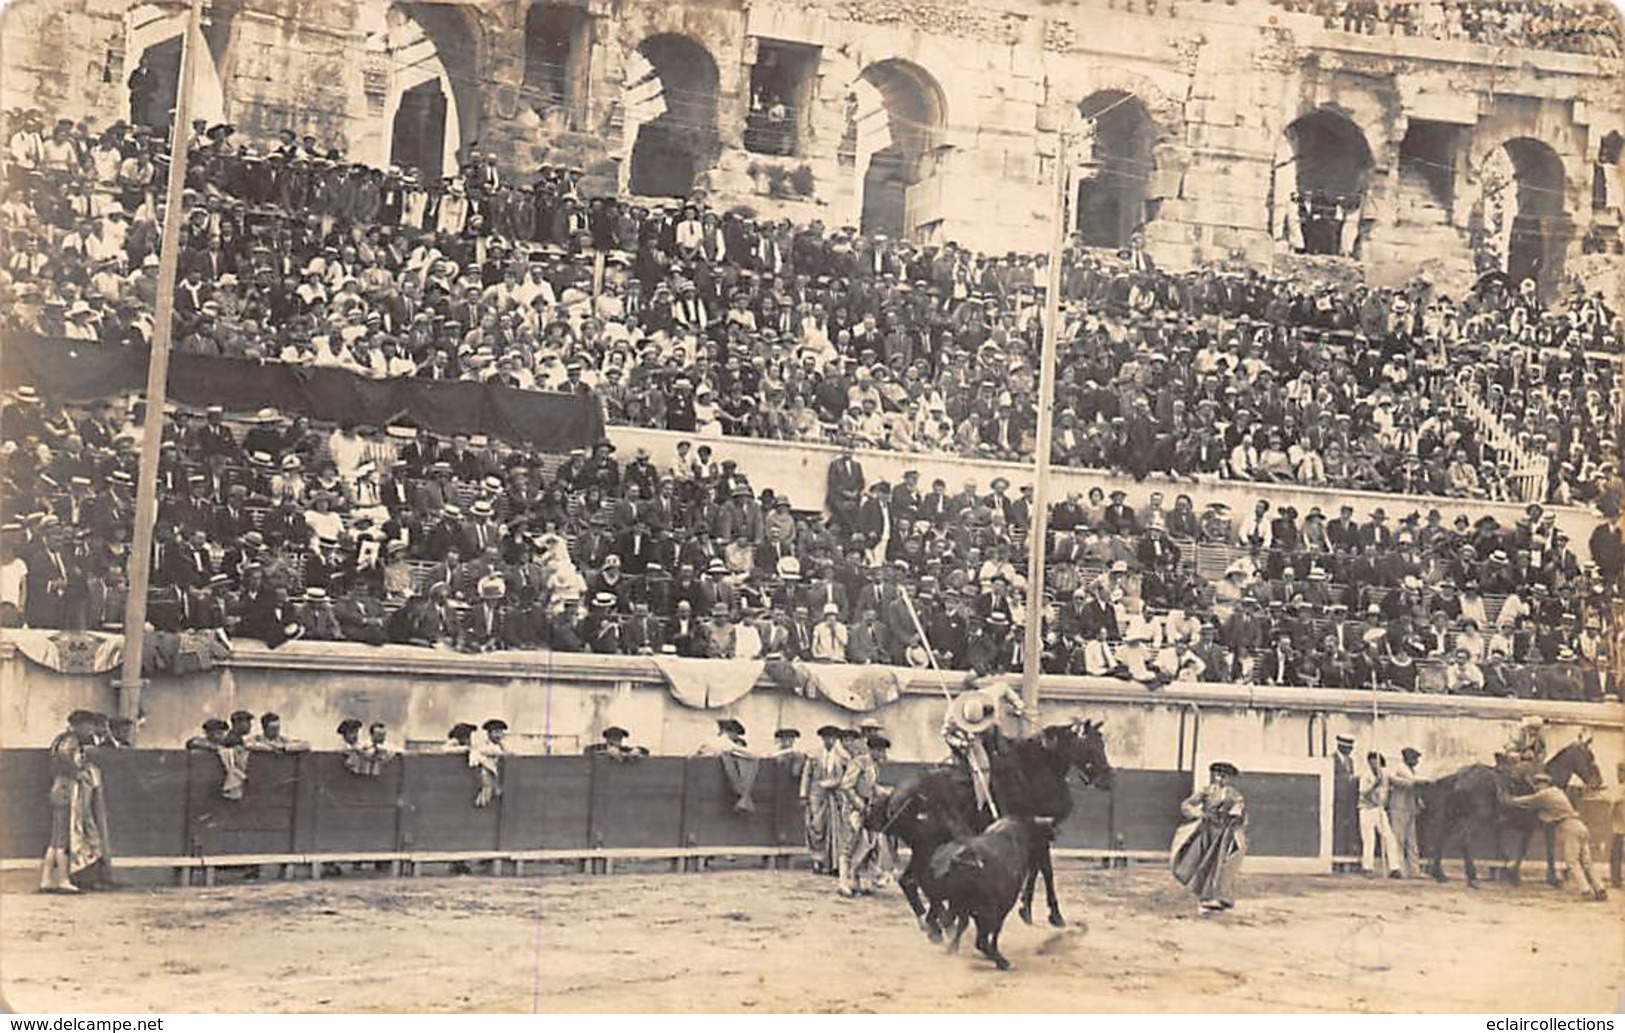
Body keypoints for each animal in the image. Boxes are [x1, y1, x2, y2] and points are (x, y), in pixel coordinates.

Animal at [864, 721, 1118, 942]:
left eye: (1103, 743)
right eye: (1092, 745)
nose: (1108, 779)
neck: (1037, 768)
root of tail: (894, 798)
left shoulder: (1037, 836)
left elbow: (1035, 869)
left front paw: (1026, 910)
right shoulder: (1041, 835)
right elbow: (1045, 870)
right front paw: (1054, 915)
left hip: (923, 847)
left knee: (909, 881)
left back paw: (934, 924)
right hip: (926, 846)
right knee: (915, 880)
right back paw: (938, 925)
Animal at [1423, 734, 1599, 890]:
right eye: (1590, 757)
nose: (1599, 782)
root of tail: (1460, 775)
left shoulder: (1529, 827)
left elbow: (1523, 849)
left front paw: (1514, 875)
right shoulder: (1544, 826)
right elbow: (1544, 850)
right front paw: (1549, 879)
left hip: (1453, 815)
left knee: (1440, 837)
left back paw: (1440, 874)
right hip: (1476, 818)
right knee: (1464, 839)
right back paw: (1472, 878)